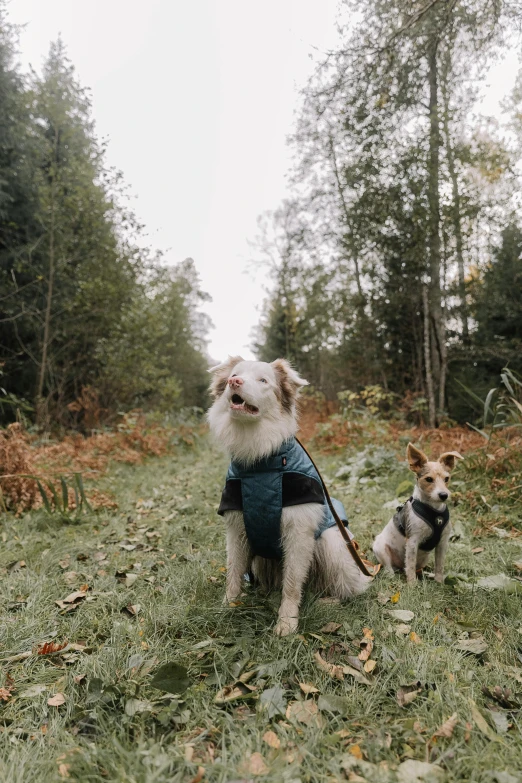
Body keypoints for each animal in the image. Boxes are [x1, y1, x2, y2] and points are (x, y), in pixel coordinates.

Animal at [205, 356, 372, 636]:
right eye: (235, 374)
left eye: (263, 380)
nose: (234, 382)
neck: (260, 463)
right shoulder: (237, 528)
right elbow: (233, 572)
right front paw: (227, 607)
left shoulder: (299, 531)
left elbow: (293, 583)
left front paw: (287, 622)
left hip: (333, 542)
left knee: (343, 586)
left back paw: (328, 600)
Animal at [372, 444, 462, 584]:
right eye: (429, 479)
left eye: (447, 479)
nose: (444, 495)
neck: (433, 510)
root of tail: (398, 567)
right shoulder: (413, 542)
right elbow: (410, 565)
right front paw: (412, 584)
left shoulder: (442, 543)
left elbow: (439, 566)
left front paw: (439, 582)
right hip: (380, 548)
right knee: (390, 567)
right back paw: (391, 575)